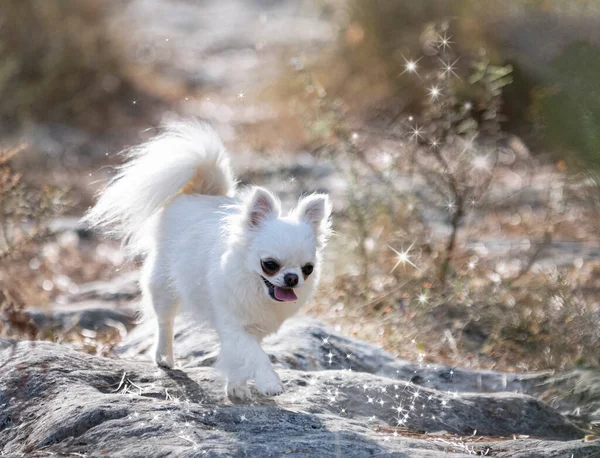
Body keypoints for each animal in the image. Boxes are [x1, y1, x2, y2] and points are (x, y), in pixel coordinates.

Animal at [84, 121, 330, 398]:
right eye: (270, 265)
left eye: (308, 269)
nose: (291, 278)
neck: (256, 289)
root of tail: (200, 191)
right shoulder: (233, 324)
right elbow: (255, 355)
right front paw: (270, 382)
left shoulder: (250, 328)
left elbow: (239, 356)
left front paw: (236, 388)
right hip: (164, 285)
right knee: (165, 321)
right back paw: (164, 357)